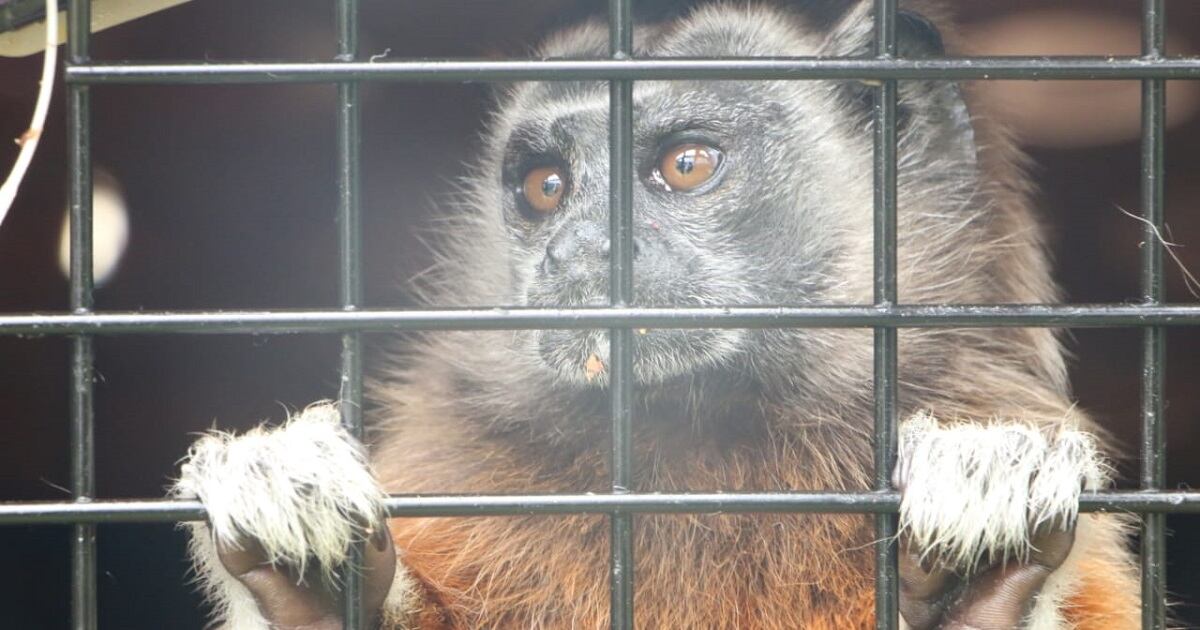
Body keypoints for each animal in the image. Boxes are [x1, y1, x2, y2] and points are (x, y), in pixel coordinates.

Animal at [172, 2, 1141, 628]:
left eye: (686, 165)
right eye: (547, 187)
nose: (577, 254)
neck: (704, 444)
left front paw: (975, 593)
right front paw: (304, 591)